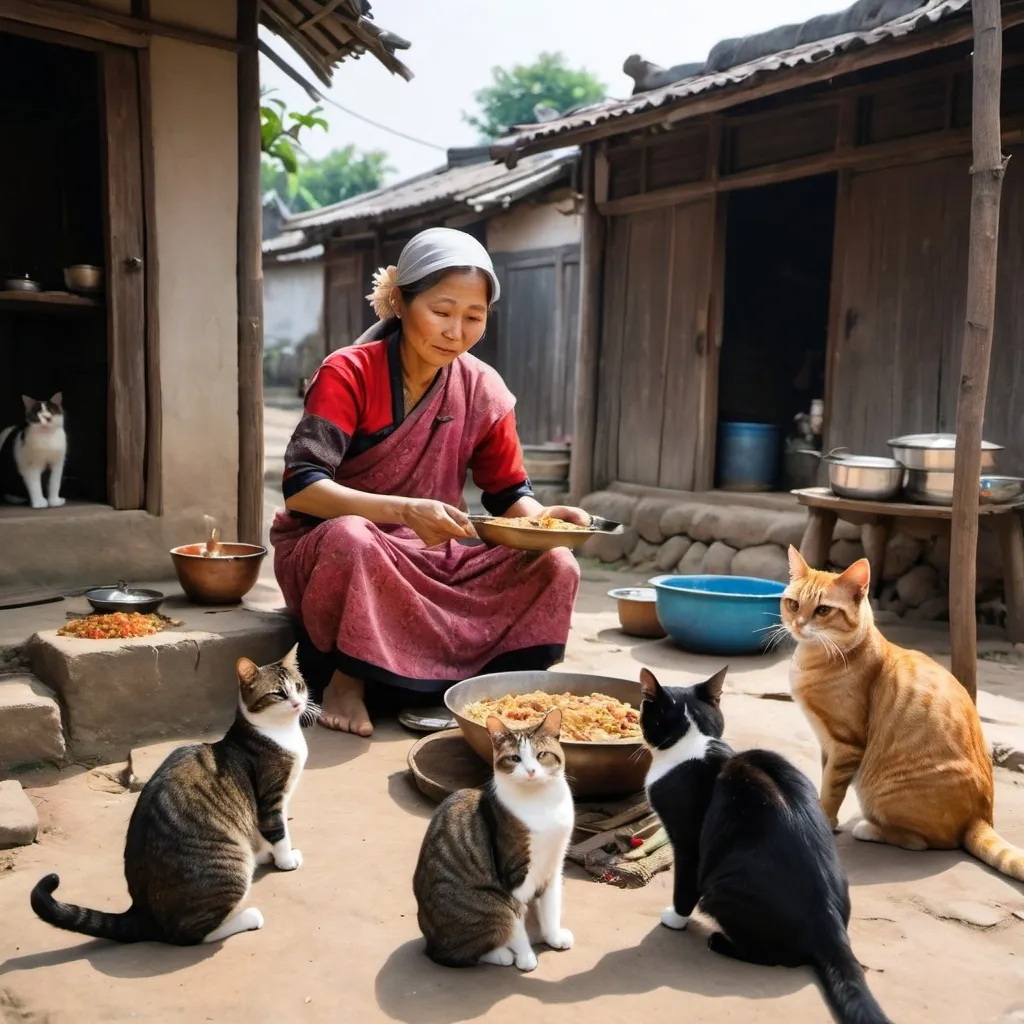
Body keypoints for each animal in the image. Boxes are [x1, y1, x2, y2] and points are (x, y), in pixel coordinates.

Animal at [30, 647, 315, 942]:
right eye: (278, 693)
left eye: (298, 686)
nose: (297, 703)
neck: (278, 733)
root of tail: (142, 912)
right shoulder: (271, 797)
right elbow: (278, 832)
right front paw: (286, 860)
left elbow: (265, 833)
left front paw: (268, 853)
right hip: (227, 869)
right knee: (189, 934)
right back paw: (248, 917)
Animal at [413, 708, 577, 970]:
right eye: (515, 758)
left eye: (542, 755)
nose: (531, 771)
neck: (540, 802)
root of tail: (429, 945)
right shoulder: (513, 876)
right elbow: (517, 922)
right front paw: (526, 958)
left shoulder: (554, 865)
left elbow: (551, 906)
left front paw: (553, 937)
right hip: (488, 903)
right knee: (462, 952)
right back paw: (502, 955)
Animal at [638, 663, 888, 1024]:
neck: (695, 741)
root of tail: (829, 926)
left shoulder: (687, 842)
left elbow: (684, 884)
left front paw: (675, 919)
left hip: (721, 889)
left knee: (780, 957)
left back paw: (720, 942)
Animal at [782, 548, 1024, 884]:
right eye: (793, 604)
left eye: (822, 610)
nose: (798, 624)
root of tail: (981, 816)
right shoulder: (827, 744)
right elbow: (825, 778)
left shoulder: (845, 744)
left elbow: (831, 789)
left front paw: (825, 821)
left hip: (883, 789)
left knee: (925, 842)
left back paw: (869, 828)